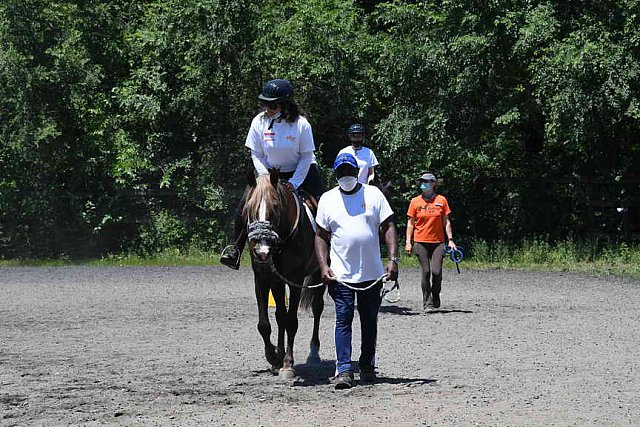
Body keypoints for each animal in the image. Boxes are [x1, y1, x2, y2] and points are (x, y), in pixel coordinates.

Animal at [245, 167, 324, 378]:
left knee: (317, 308)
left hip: (320, 274)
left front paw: (287, 363)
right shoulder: (264, 278)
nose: (262, 251)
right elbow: (267, 323)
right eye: (249, 208)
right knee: (280, 316)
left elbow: (291, 321)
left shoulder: (295, 279)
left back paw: (314, 352)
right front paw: (274, 357)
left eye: (275, 206)